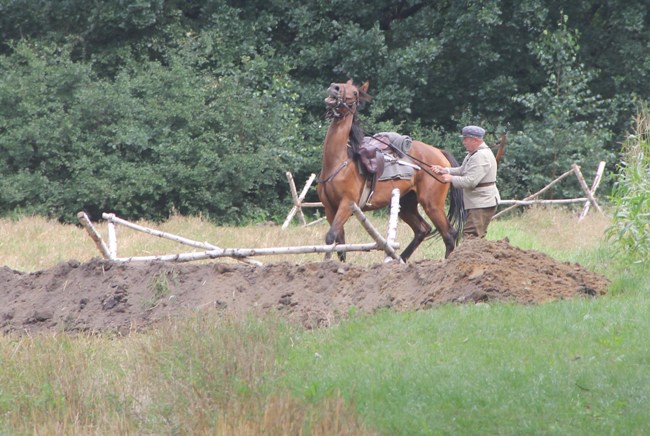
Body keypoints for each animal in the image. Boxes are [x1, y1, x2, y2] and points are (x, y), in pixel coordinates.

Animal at [316, 80, 464, 260]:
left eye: (355, 93)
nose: (335, 88)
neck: (338, 161)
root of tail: (439, 153)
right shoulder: (330, 208)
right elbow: (340, 243)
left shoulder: (347, 204)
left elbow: (331, 237)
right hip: (407, 204)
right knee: (422, 229)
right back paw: (400, 259)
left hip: (432, 205)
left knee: (449, 234)